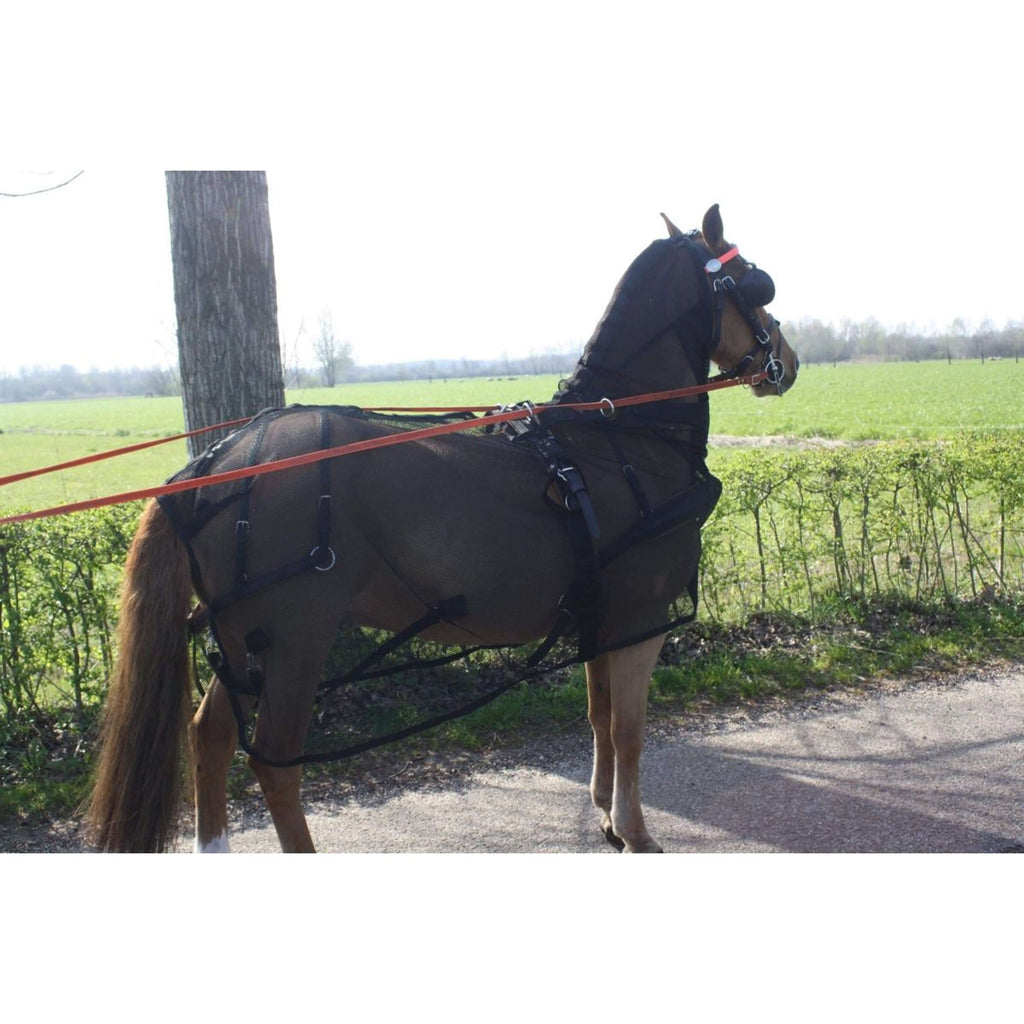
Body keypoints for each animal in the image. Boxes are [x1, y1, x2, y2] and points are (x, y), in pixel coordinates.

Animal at [88, 204, 799, 853]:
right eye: (756, 283)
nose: (787, 361)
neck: (618, 436)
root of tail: (212, 464)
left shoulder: (603, 619)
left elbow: (598, 716)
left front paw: (604, 813)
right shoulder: (640, 618)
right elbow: (629, 729)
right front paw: (635, 830)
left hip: (241, 640)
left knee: (209, 736)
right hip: (296, 640)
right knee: (273, 760)